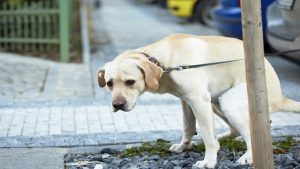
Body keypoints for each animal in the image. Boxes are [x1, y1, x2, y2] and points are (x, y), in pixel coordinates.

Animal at [96, 33, 300, 168]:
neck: (164, 62)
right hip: (216, 102)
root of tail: (280, 97)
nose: (117, 105)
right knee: (237, 130)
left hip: (230, 102)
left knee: (251, 134)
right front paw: (184, 146)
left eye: (130, 82)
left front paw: (209, 161)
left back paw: (248, 156)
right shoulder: (187, 101)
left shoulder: (198, 100)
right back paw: (223, 137)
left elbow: (208, 136)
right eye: (109, 83)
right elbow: (188, 127)